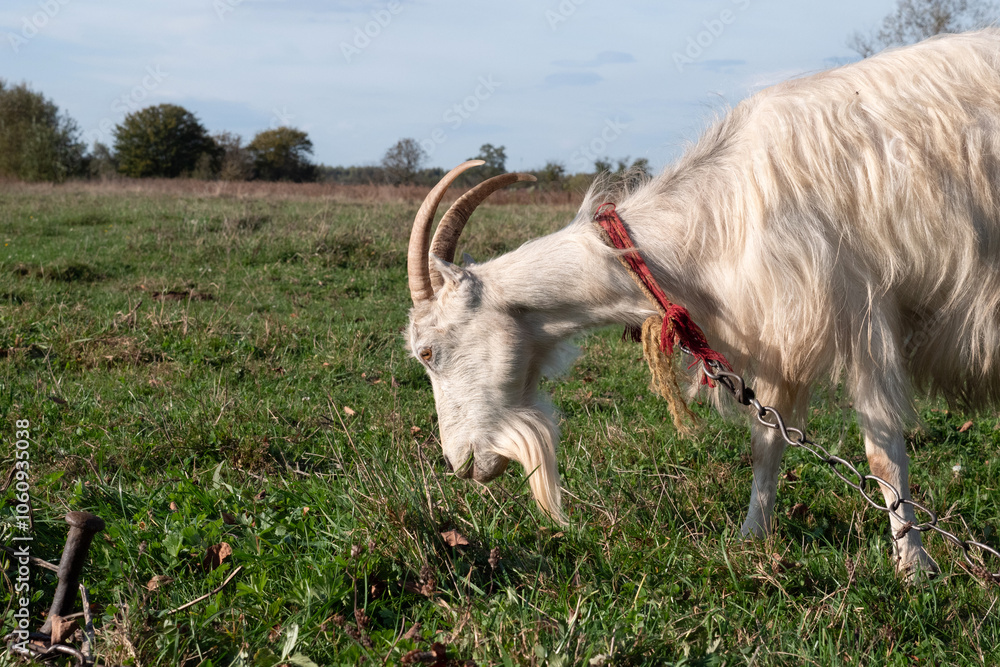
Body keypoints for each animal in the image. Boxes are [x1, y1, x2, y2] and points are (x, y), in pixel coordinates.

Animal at [405, 30, 1000, 576]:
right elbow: (768, 438)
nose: (460, 463)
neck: (717, 217)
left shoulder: (862, 315)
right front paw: (752, 536)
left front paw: (914, 566)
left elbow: (883, 450)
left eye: (428, 352)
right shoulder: (777, 333)